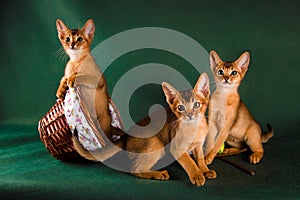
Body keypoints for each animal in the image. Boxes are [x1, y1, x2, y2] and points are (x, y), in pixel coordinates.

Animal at [74, 73, 217, 186]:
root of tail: (126, 136)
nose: (190, 115)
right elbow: (189, 162)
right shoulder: (177, 148)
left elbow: (200, 159)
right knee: (135, 170)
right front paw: (197, 175)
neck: (195, 128)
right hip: (156, 144)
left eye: (196, 105)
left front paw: (205, 170)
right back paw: (159, 174)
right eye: (180, 108)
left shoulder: (198, 145)